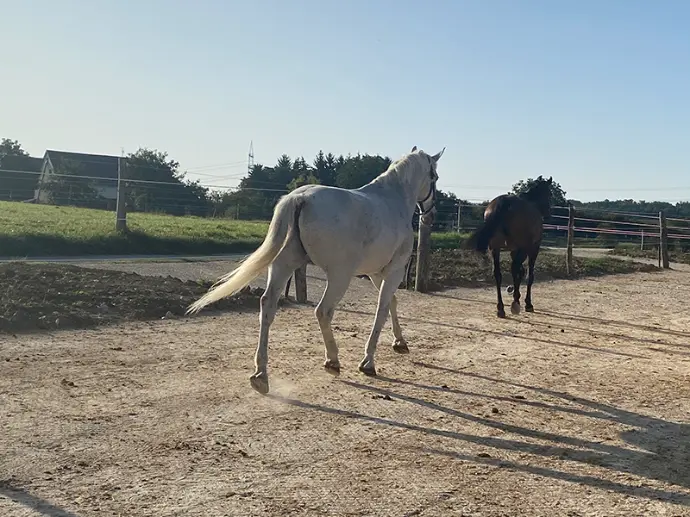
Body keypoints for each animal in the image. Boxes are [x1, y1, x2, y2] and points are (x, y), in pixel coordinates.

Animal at [185, 147, 444, 394]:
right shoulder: (393, 270)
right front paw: (368, 362)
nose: (431, 215)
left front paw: (400, 343)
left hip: (283, 265)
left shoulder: (376, 272)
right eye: (435, 177)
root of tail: (300, 198)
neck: (393, 200)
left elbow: (392, 302)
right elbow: (382, 308)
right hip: (339, 276)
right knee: (323, 311)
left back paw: (261, 376)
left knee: (267, 306)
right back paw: (333, 361)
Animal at [464, 175, 552, 316]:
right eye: (549, 193)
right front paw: (527, 303)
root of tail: (504, 202)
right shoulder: (532, 249)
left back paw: (501, 308)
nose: (548, 211)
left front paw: (516, 295)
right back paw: (514, 304)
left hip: (495, 248)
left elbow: (519, 272)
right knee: (515, 269)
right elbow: (528, 274)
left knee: (498, 274)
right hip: (522, 248)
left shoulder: (514, 250)